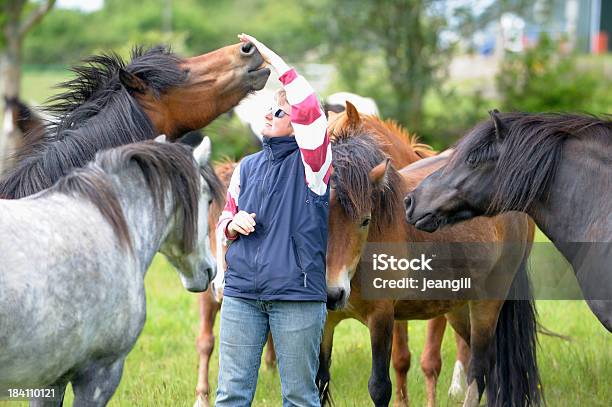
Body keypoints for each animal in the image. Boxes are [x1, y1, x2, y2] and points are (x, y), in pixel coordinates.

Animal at [326, 106, 540, 407]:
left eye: (365, 220)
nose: (333, 293)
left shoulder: (382, 317)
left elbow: (382, 385)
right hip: (459, 307)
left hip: (488, 302)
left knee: (481, 367)